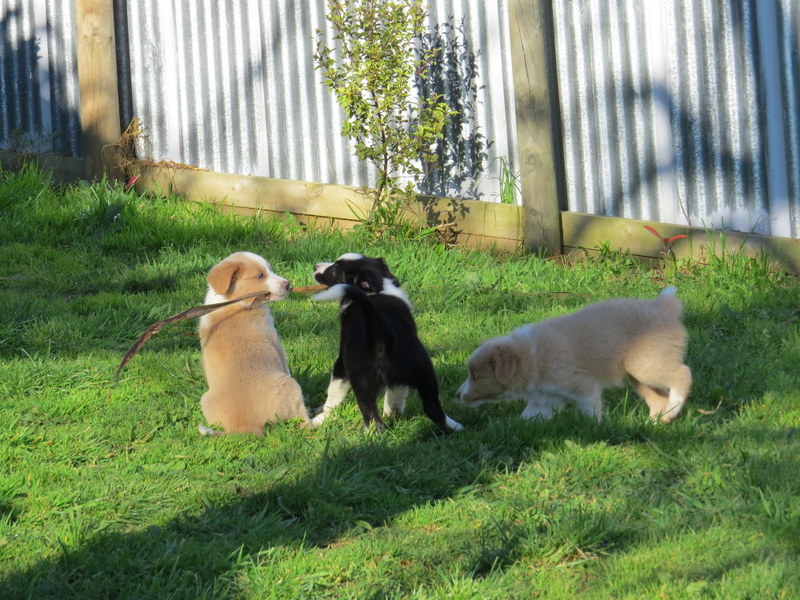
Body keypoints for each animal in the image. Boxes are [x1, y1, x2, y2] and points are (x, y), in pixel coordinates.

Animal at [197, 251, 309, 435]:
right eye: (260, 276)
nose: (288, 285)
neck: (234, 301)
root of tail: (246, 428)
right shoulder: (274, 340)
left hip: (205, 399)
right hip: (292, 386)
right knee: (304, 420)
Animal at [309, 253, 463, 432]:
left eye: (334, 269)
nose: (314, 266)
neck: (377, 288)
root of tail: (382, 332)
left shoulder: (342, 361)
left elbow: (334, 393)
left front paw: (321, 415)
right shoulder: (399, 381)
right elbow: (395, 396)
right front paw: (392, 413)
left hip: (361, 379)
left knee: (373, 419)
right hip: (426, 374)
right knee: (434, 409)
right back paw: (457, 427)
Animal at [457, 287, 691, 423]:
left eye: (475, 376)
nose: (457, 396)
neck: (531, 355)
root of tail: (663, 305)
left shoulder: (583, 387)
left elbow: (589, 411)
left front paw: (593, 430)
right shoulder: (546, 398)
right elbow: (530, 415)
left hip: (646, 365)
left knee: (683, 374)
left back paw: (672, 409)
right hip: (639, 374)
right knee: (658, 397)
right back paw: (659, 419)